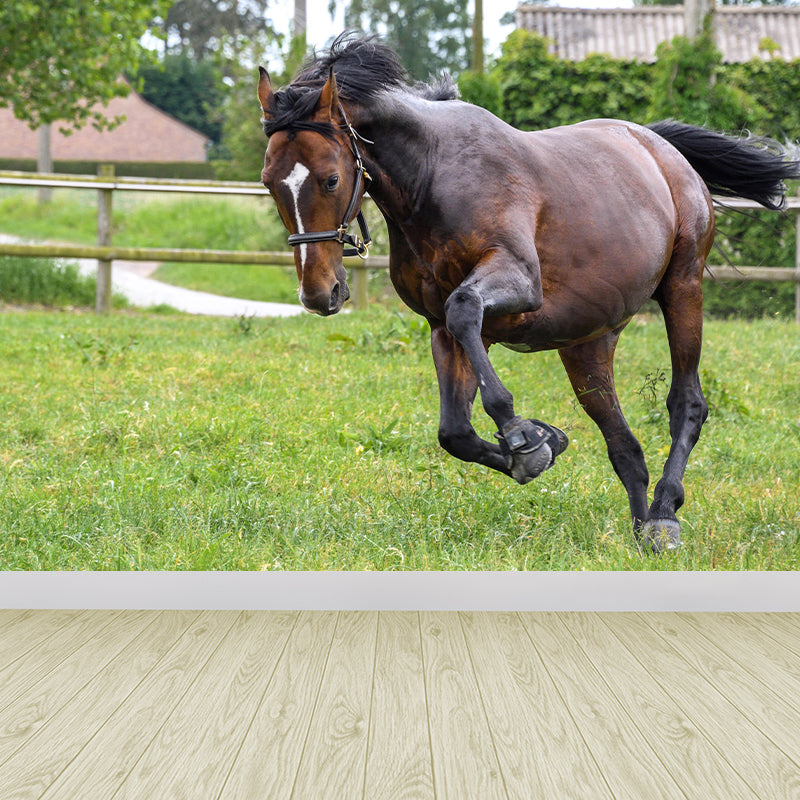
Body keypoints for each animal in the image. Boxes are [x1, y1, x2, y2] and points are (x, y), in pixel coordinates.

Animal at [256, 33, 800, 552]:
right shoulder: (441, 329)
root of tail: (660, 147)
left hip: (682, 288)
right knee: (625, 447)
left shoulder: (515, 283)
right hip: (588, 343)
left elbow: (465, 311)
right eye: (269, 182)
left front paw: (523, 435)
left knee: (686, 403)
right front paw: (543, 442)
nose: (318, 293)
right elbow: (455, 432)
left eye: (330, 179)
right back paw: (642, 529)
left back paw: (665, 515)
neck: (432, 177)